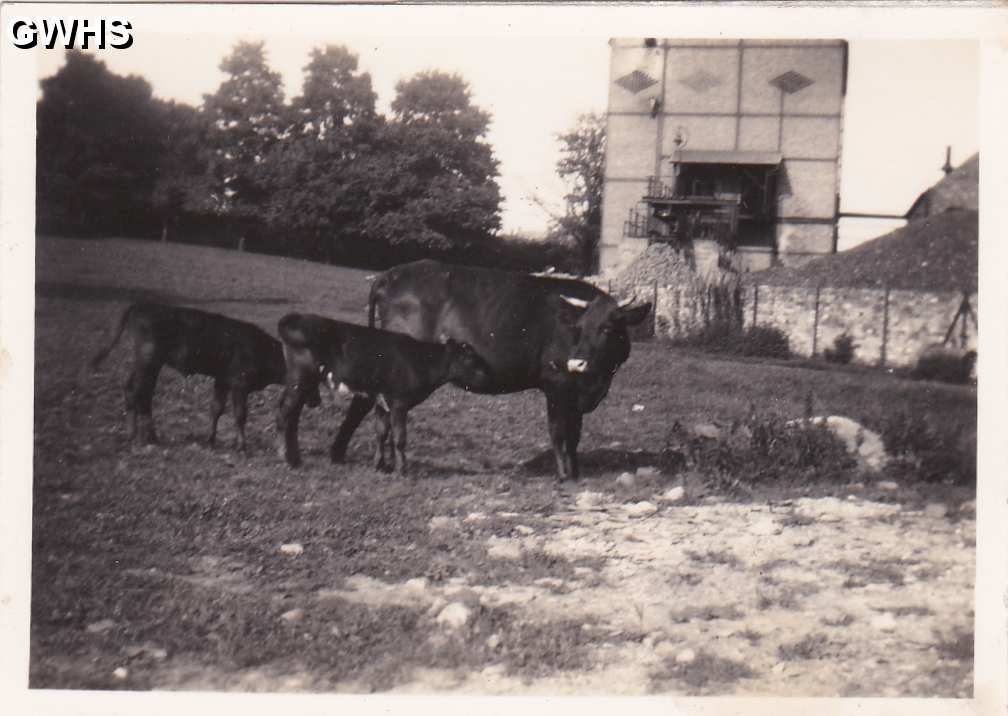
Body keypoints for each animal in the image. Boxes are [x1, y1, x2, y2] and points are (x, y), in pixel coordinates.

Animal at [90, 300, 310, 447]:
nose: (315, 401)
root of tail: (142, 305)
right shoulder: (239, 384)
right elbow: (240, 414)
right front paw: (241, 445)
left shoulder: (222, 381)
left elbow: (216, 408)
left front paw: (210, 440)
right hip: (149, 361)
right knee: (140, 392)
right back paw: (147, 437)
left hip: (145, 363)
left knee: (133, 390)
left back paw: (135, 435)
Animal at [274, 314, 493, 475]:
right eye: (471, 360)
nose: (490, 376)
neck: (422, 360)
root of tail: (295, 318)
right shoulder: (399, 402)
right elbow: (399, 437)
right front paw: (402, 469)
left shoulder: (382, 401)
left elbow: (381, 432)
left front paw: (381, 465)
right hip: (300, 378)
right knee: (285, 413)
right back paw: (286, 458)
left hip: (303, 382)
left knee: (292, 415)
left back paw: (294, 458)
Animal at [326, 260, 649, 482]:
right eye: (578, 329)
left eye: (607, 328)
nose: (576, 363)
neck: (598, 379)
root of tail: (391, 274)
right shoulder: (556, 384)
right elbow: (558, 432)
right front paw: (562, 475)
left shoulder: (577, 394)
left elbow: (575, 434)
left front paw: (577, 473)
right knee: (372, 407)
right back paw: (363, 459)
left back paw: (381, 463)